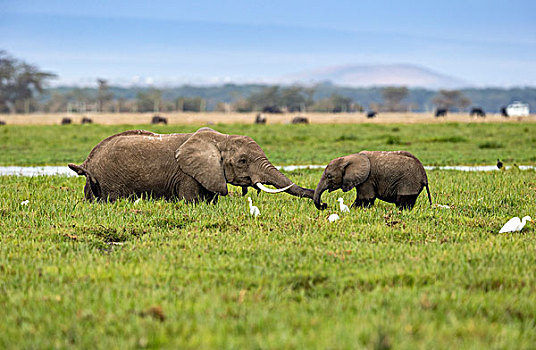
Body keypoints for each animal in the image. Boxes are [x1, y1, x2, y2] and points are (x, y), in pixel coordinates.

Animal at [70, 127, 314, 202]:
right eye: (242, 161)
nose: (319, 201)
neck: (220, 138)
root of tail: (88, 161)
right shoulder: (186, 174)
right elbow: (192, 201)